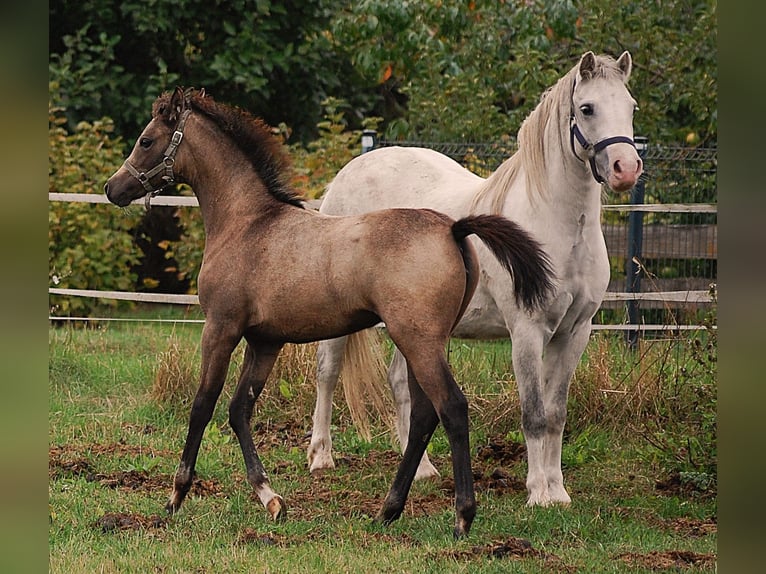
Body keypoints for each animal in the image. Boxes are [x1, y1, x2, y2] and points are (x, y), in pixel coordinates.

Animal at [103, 87, 555, 537]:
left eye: (146, 140)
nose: (113, 188)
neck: (247, 224)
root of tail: (453, 228)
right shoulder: (265, 342)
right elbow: (238, 410)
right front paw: (271, 500)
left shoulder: (220, 329)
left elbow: (202, 405)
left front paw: (175, 497)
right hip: (425, 343)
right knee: (425, 417)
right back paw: (388, 510)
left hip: (417, 340)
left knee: (452, 409)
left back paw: (461, 516)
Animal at [307, 51, 643, 507]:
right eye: (587, 108)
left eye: (630, 108)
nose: (626, 169)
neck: (554, 224)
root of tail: (349, 173)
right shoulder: (526, 331)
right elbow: (533, 414)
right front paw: (537, 494)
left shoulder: (575, 332)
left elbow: (556, 415)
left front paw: (558, 492)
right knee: (327, 371)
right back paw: (321, 457)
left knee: (399, 381)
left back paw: (423, 471)